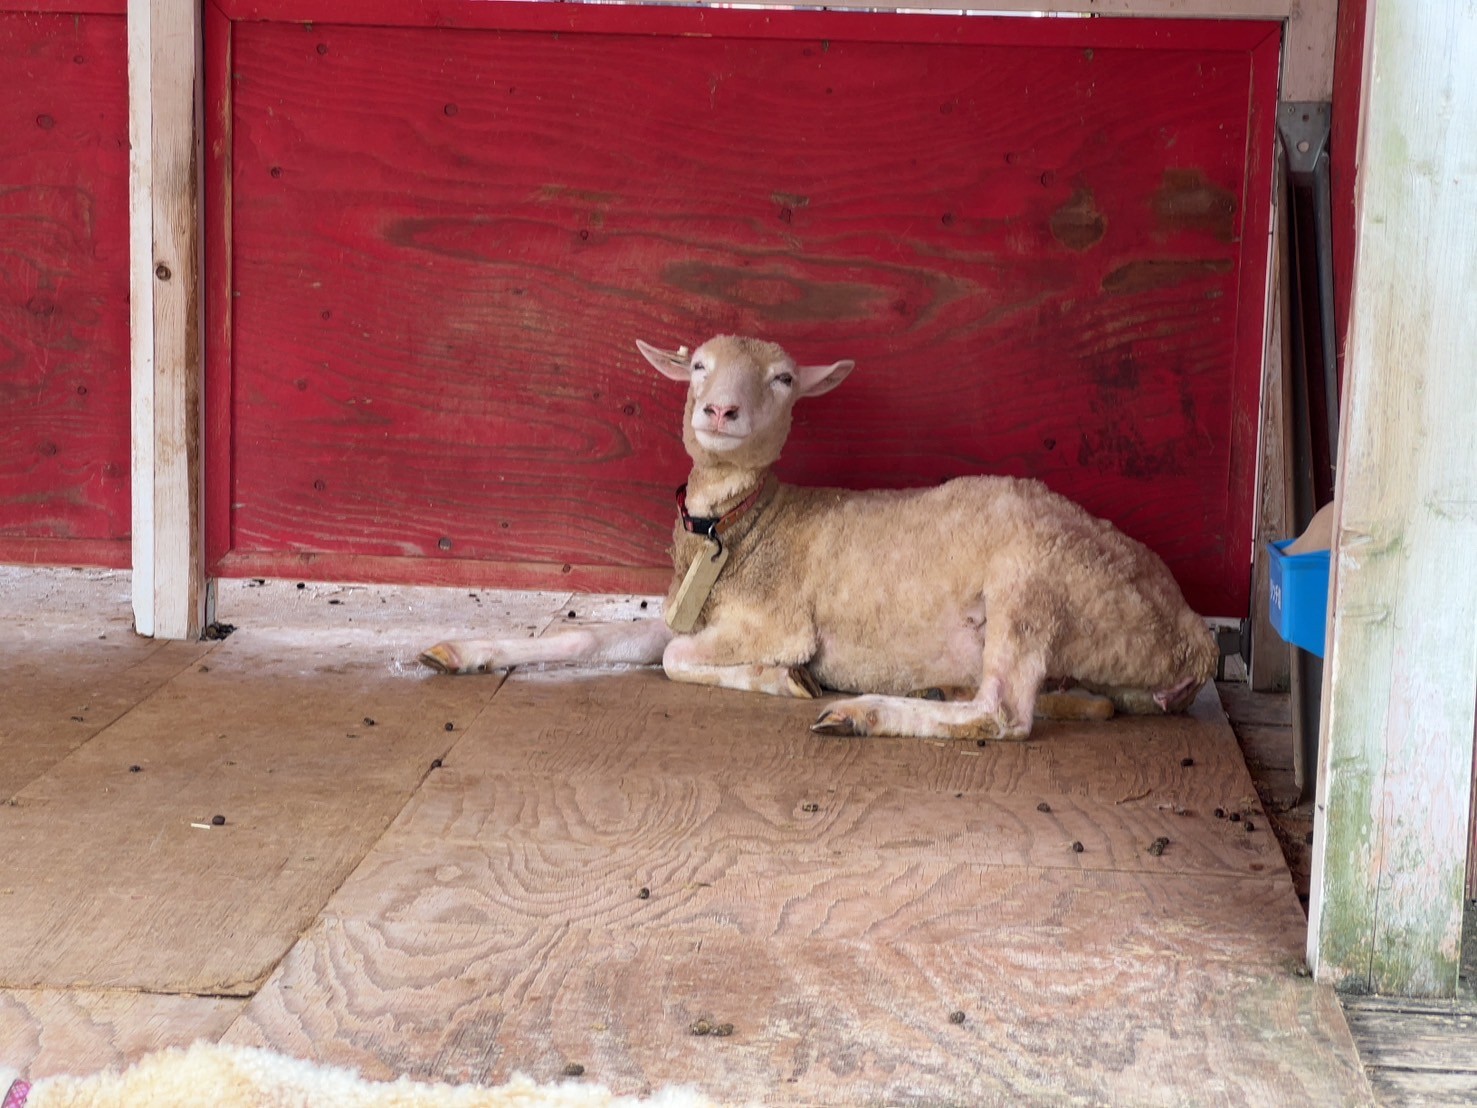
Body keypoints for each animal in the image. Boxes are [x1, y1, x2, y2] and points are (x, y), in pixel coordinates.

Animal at [419, 335, 1220, 740]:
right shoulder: (698, 613)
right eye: (699, 364)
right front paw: (458, 650)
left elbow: (678, 660)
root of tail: (1193, 635)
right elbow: (592, 638)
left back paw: (862, 712)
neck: (746, 526)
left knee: (1005, 714)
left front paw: (784, 680)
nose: (719, 410)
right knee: (1086, 702)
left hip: (1038, 578)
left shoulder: (773, 621)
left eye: (782, 378)